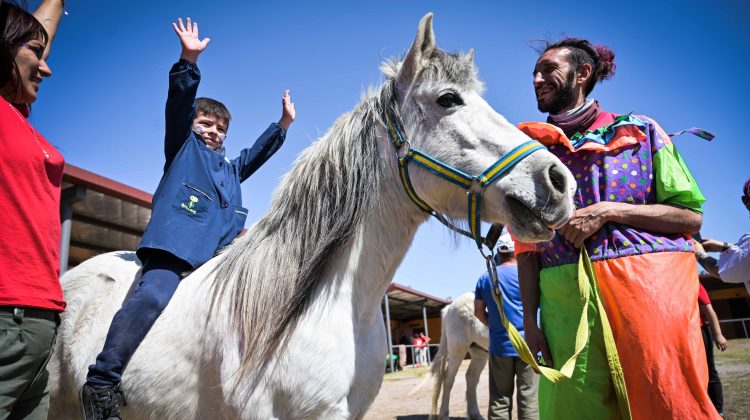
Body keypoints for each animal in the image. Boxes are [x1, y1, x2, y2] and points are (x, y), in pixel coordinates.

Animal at [432, 292, 490, 420]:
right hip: (457, 352)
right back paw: (444, 415)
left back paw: (475, 414)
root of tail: (449, 308)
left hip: (480, 353)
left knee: (471, 378)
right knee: (448, 379)